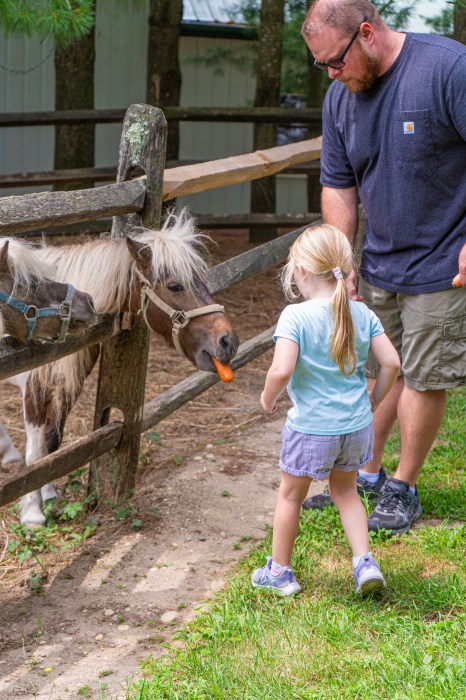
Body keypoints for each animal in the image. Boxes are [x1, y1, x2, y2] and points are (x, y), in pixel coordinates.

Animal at [0, 238, 97, 474]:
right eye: (32, 284)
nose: (89, 300)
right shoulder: (33, 393)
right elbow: (36, 455)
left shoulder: (67, 391)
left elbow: (51, 443)